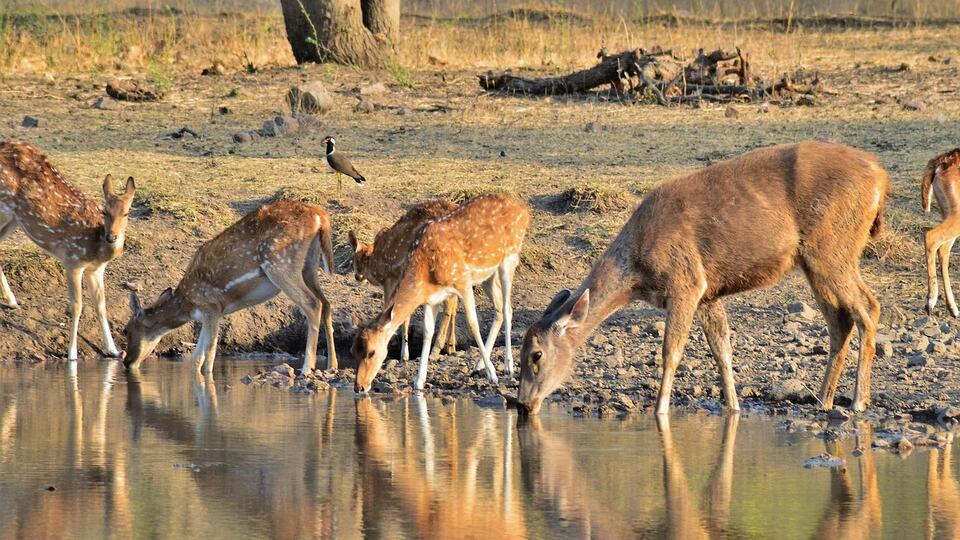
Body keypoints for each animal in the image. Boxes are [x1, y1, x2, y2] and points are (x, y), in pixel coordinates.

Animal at [0, 141, 136, 360]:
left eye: (126, 213)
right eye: (104, 211)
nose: (112, 237)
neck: (96, 248)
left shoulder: (96, 270)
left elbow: (101, 306)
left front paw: (113, 350)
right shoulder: (73, 261)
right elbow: (77, 306)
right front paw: (72, 353)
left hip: (14, 219)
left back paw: (12, 301)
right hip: (4, 208)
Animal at [122, 199, 337, 373]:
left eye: (126, 330)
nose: (127, 362)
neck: (187, 304)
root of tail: (320, 216)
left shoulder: (211, 306)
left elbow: (208, 356)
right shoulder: (209, 313)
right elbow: (196, 358)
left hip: (280, 263)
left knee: (312, 304)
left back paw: (306, 368)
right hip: (309, 266)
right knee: (326, 303)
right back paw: (331, 366)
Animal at [348, 199, 462, 363]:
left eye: (354, 259)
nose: (357, 276)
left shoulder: (391, 279)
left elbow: (394, 310)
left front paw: (402, 354)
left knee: (450, 303)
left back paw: (435, 351)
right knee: (455, 301)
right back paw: (450, 347)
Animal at [518, 141, 888, 415]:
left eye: (536, 355)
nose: (522, 404)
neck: (638, 269)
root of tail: (881, 178)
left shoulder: (686, 282)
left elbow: (671, 350)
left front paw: (660, 410)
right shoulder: (709, 293)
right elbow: (722, 350)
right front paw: (733, 407)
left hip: (832, 246)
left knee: (868, 307)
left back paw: (857, 401)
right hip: (813, 260)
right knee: (840, 319)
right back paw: (823, 399)